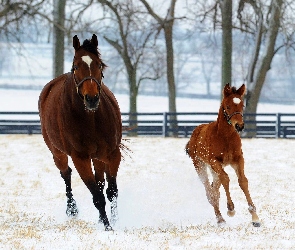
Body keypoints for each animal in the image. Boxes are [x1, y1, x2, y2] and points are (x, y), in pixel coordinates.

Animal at [39, 34, 122, 231]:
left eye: (99, 65)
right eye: (76, 66)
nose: (91, 99)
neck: (91, 119)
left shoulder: (112, 153)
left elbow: (111, 191)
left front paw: (115, 221)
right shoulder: (80, 158)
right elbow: (97, 197)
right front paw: (108, 228)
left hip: (98, 156)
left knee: (101, 183)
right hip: (58, 153)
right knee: (66, 174)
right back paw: (72, 209)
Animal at [187, 83, 262, 227]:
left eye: (242, 105)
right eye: (228, 106)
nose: (239, 126)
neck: (225, 137)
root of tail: (194, 133)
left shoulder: (238, 159)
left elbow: (243, 181)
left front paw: (255, 217)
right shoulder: (214, 161)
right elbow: (226, 179)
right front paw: (231, 209)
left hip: (214, 170)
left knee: (215, 188)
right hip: (201, 165)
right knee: (210, 191)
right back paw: (220, 219)